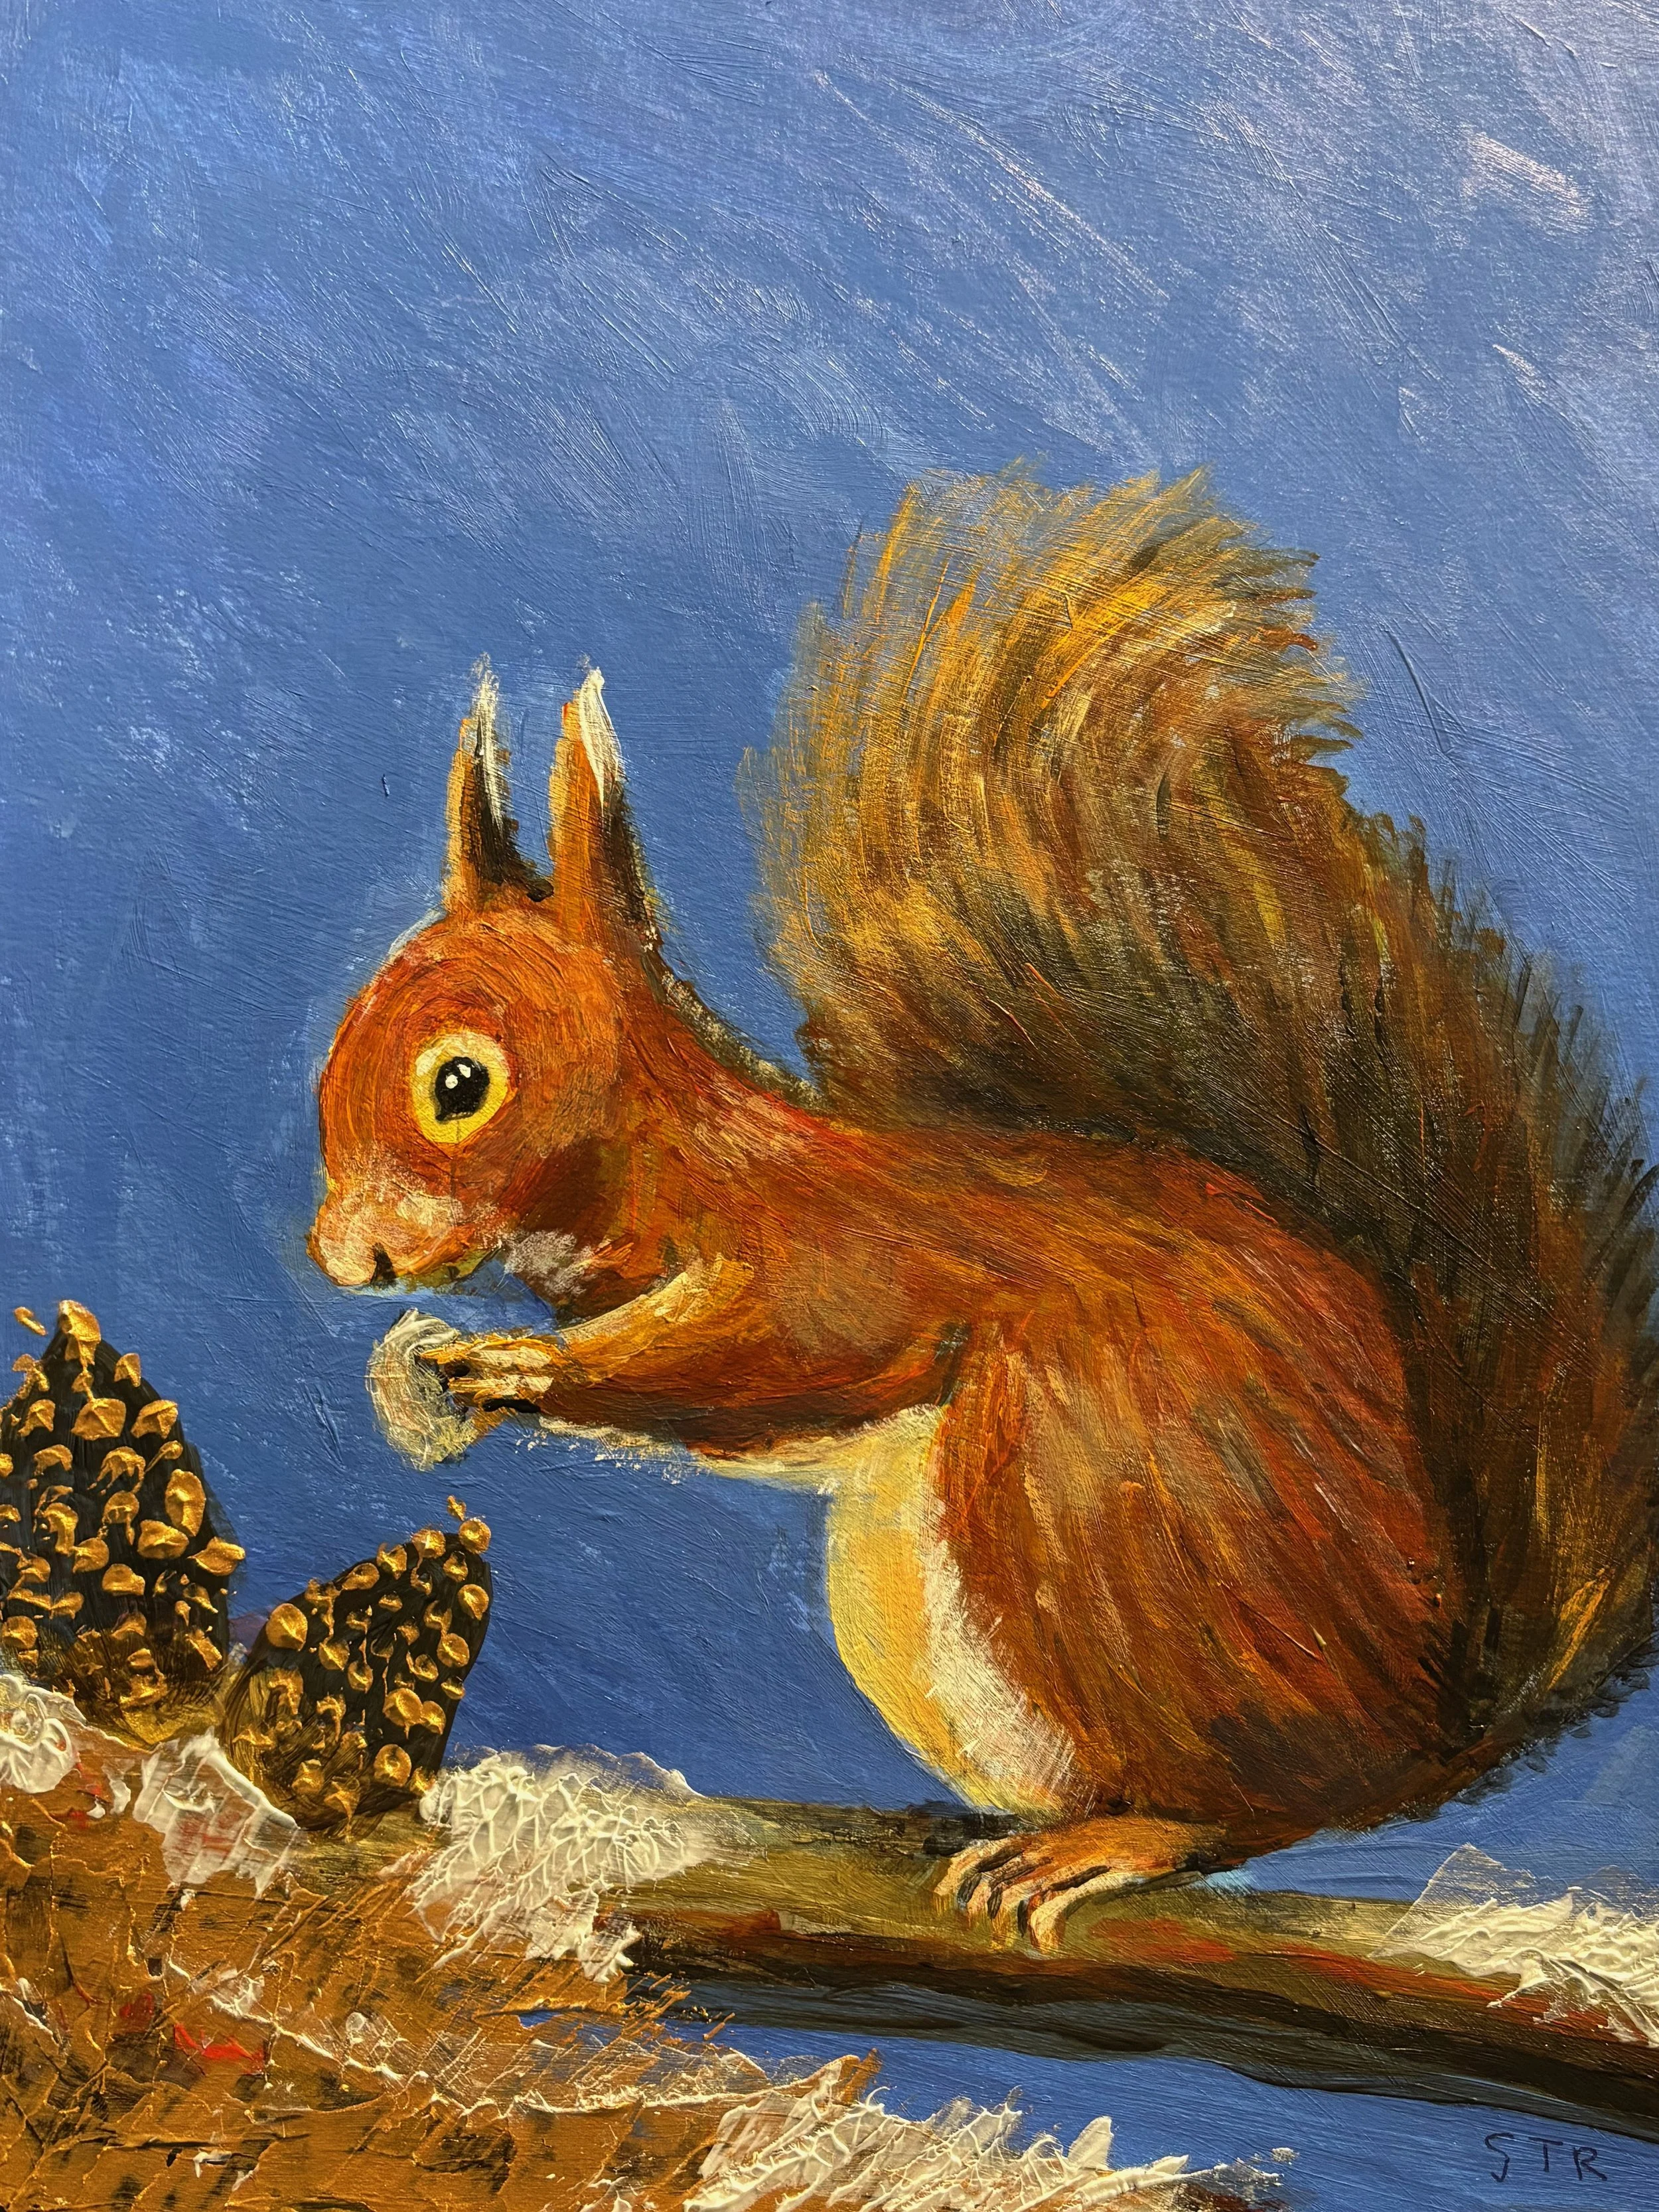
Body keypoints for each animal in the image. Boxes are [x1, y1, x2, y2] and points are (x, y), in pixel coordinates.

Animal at [310, 469, 1659, 1948]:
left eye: (459, 1082)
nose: (344, 1256)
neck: (690, 1163)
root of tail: (1429, 1717)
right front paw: (429, 1368)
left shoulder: (842, 1255)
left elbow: (767, 1351)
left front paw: (521, 1365)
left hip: (1088, 1502)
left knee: (1264, 1804)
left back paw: (1117, 1837)